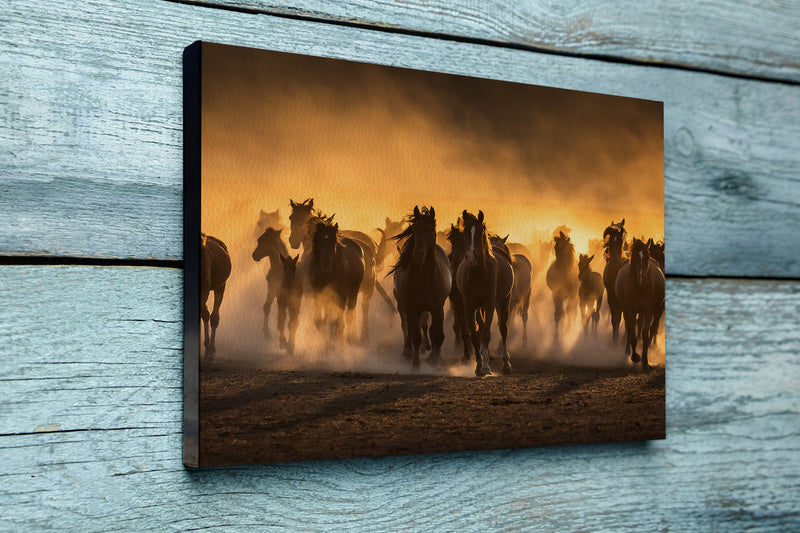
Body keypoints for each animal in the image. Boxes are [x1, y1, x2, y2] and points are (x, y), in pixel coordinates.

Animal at [392, 206, 454, 368]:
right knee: (407, 327)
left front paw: (435, 359)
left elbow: (437, 334)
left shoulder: (437, 307)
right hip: (406, 306)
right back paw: (407, 351)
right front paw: (416, 364)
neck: (424, 280)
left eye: (431, 230)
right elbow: (415, 335)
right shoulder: (411, 306)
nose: (418, 254)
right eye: (414, 230)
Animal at [456, 208, 512, 374]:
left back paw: (506, 364)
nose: (471, 257)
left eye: (480, 233)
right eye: (465, 233)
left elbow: (487, 334)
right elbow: (475, 335)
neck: (478, 274)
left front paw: (486, 367)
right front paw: (479, 365)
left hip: (504, 301)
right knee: (480, 328)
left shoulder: (489, 305)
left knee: (503, 327)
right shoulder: (469, 307)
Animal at [616, 237, 664, 366]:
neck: (639, 288)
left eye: (647, 256)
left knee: (650, 327)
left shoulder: (648, 311)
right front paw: (635, 357)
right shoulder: (630, 311)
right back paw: (627, 352)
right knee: (628, 329)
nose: (641, 279)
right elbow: (631, 334)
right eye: (634, 256)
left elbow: (645, 335)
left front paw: (645, 359)